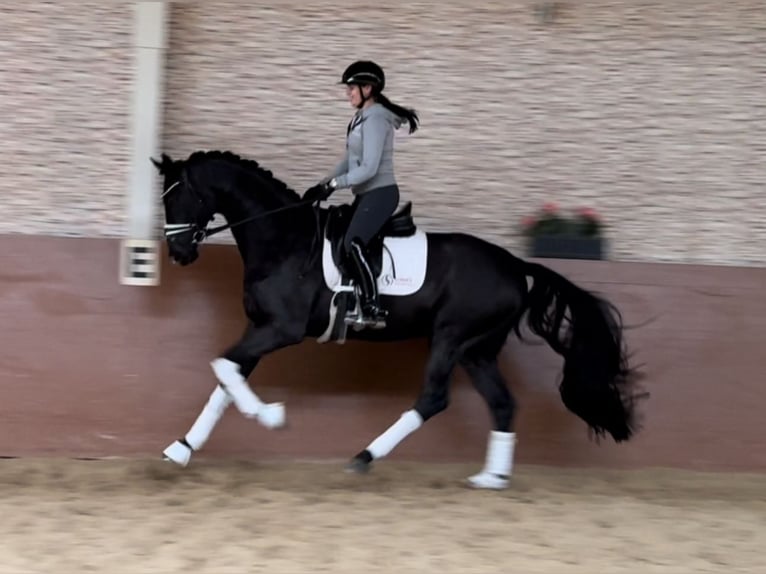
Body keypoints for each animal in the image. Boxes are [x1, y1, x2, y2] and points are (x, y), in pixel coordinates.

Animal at [150, 150, 640, 490]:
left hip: (450, 338)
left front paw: (271, 416)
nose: (179, 253)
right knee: (502, 403)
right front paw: (181, 449)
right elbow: (226, 379)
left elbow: (223, 368)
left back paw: (364, 458)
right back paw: (491, 479)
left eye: (180, 197)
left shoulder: (279, 330)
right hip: (477, 350)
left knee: (434, 399)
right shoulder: (259, 328)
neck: (283, 240)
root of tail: (516, 265)